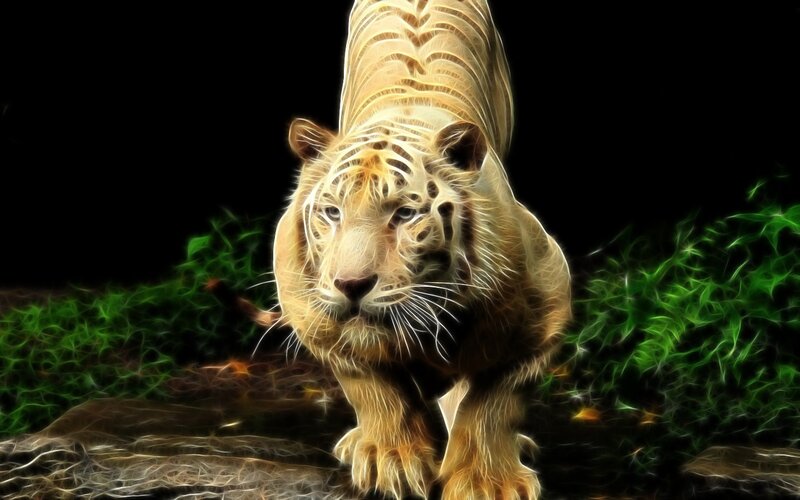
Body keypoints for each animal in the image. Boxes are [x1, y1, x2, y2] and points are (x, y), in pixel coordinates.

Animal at [269, 0, 572, 498]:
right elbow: (372, 385)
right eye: (332, 213)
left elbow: (494, 401)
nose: (351, 285)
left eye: (404, 215)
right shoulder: (312, 313)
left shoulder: (547, 303)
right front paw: (389, 459)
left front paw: (487, 481)